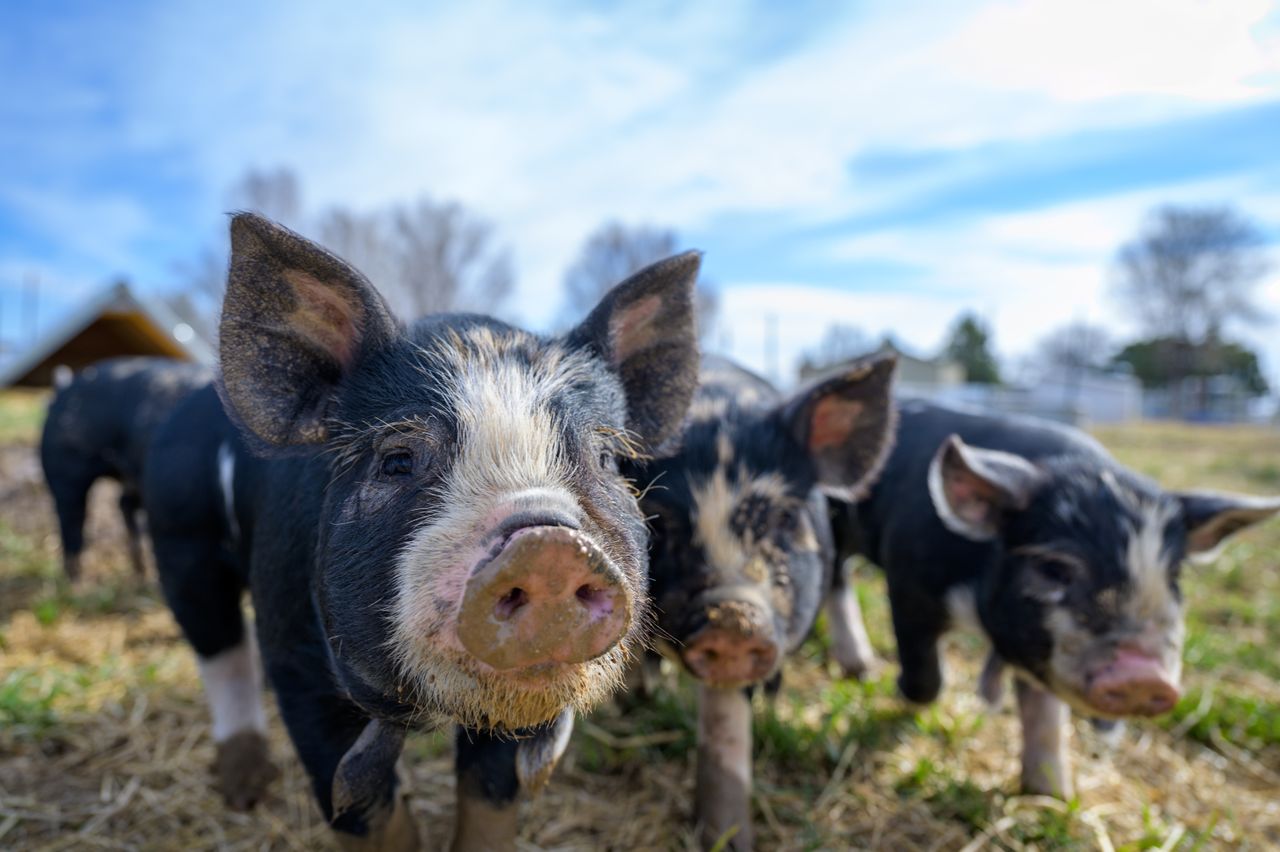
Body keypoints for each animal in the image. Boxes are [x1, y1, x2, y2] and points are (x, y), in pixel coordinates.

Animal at [39, 356, 210, 581]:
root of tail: (64, 386)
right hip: (64, 469)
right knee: (71, 520)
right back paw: (76, 581)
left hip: (134, 478)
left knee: (124, 503)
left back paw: (142, 573)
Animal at [142, 213, 702, 851]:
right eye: (397, 460)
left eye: (607, 460)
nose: (548, 547)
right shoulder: (296, 660)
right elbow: (364, 813)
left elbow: (490, 794)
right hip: (180, 538)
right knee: (218, 648)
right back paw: (245, 791)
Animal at [627, 354, 897, 850]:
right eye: (656, 522)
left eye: (785, 517)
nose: (733, 618)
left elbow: (730, 718)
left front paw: (730, 838)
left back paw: (861, 671)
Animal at [828, 399, 1280, 798]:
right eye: (1053, 569)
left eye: (1173, 577)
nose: (1143, 677)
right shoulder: (909, 582)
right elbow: (927, 676)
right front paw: (903, 692)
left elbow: (1045, 715)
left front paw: (1051, 797)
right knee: (837, 578)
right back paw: (860, 669)